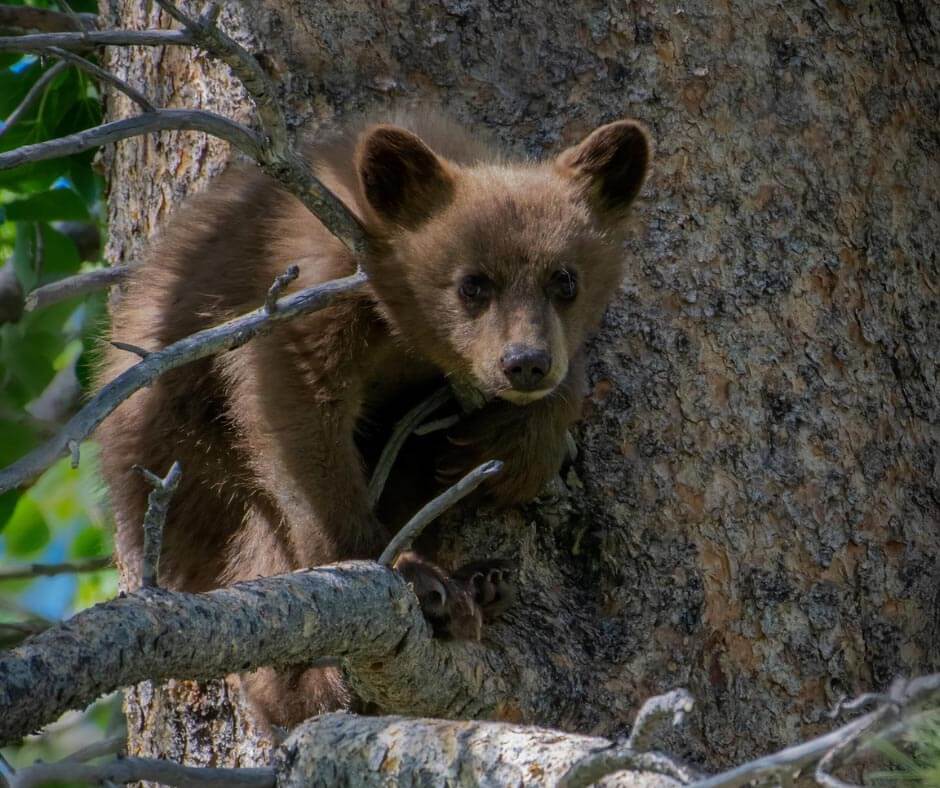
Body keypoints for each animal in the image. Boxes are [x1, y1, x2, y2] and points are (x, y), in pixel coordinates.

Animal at [96, 112, 651, 726]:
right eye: (473, 284)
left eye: (565, 280)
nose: (525, 362)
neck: (404, 331)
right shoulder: (311, 282)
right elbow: (295, 409)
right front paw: (395, 568)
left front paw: (518, 444)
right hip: (189, 477)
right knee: (254, 541)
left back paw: (482, 581)